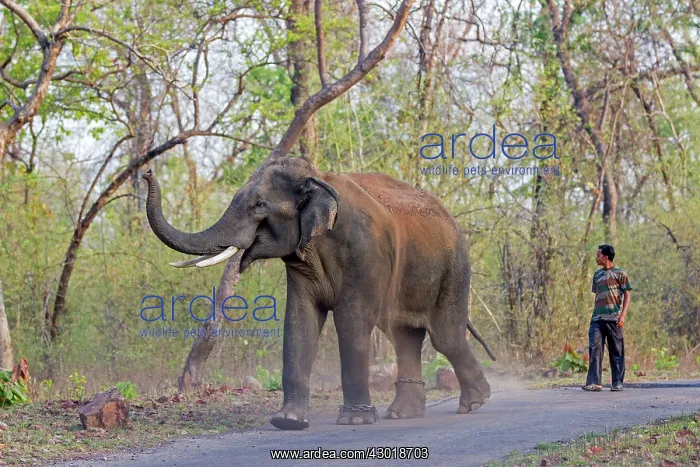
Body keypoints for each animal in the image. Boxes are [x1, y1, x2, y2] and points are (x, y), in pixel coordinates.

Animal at [142, 157, 496, 430]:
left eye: (259, 205)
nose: (146, 172)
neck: (317, 178)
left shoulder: (365, 250)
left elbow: (351, 319)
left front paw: (354, 421)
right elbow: (300, 321)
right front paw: (287, 422)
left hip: (454, 268)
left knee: (444, 336)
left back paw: (474, 404)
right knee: (402, 335)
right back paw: (403, 414)